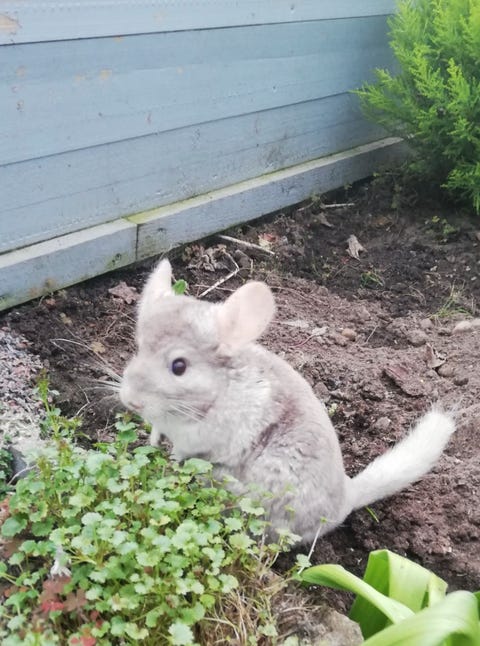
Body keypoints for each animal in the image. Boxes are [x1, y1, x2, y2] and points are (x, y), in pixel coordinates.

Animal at [120, 259, 455, 542]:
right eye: (138, 349)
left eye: (179, 366)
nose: (130, 400)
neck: (213, 394)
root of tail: (346, 499)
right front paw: (151, 441)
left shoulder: (198, 440)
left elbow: (181, 450)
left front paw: (169, 459)